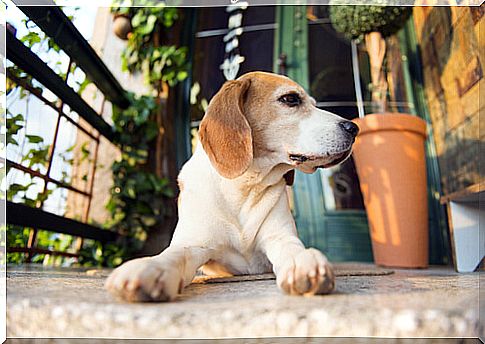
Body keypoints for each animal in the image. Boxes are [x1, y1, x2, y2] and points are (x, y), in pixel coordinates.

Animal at [104, 70, 358, 300]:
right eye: (290, 99)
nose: (354, 128)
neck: (242, 187)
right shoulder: (194, 243)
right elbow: (174, 254)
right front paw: (151, 267)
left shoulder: (280, 236)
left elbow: (292, 248)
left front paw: (302, 260)